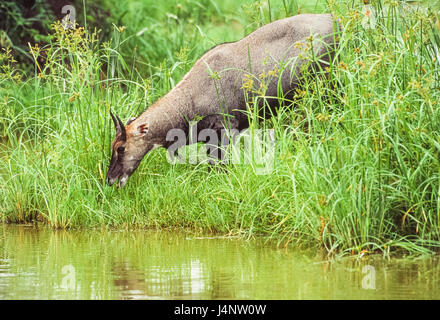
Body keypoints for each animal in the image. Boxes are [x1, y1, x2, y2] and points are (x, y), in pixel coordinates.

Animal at [106, 13, 340, 186]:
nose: (110, 180)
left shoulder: (226, 129)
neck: (190, 99)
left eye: (121, 148)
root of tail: (336, 20)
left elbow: (220, 167)